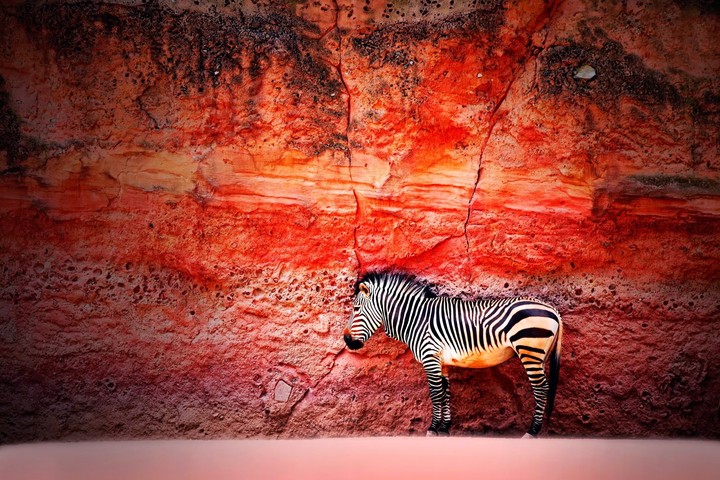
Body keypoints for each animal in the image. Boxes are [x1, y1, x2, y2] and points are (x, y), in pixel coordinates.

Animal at [343, 271, 563, 438]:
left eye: (356, 309)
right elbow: (445, 392)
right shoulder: (442, 362)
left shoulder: (430, 357)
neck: (416, 318)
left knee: (541, 388)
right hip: (540, 355)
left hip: (530, 351)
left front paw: (432, 429)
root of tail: (552, 309)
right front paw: (444, 428)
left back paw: (532, 432)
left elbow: (435, 393)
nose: (346, 340)